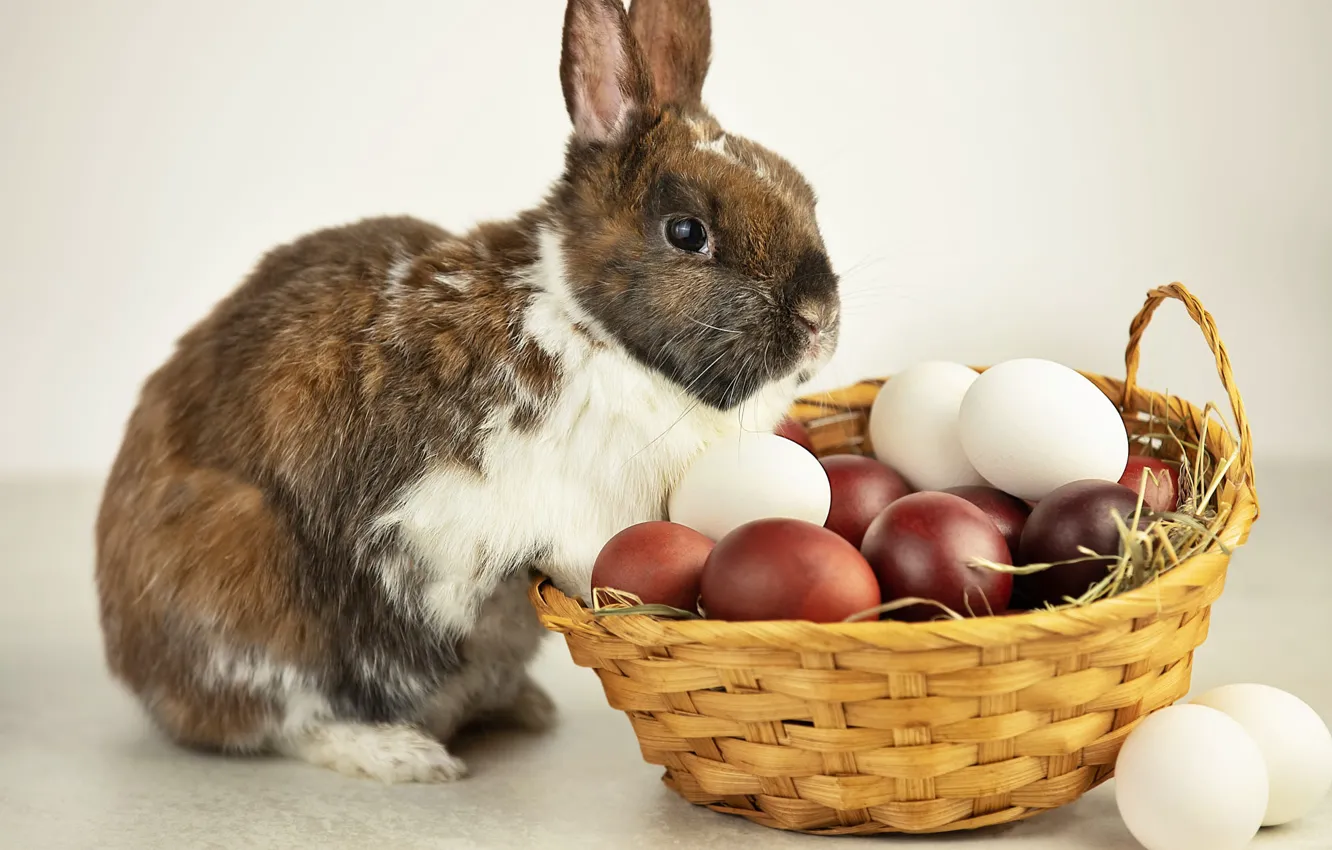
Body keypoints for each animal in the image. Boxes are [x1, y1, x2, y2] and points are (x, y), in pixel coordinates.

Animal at [95, 0, 840, 784]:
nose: (819, 318)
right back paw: (406, 756)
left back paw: (521, 708)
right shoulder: (565, 523)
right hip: (252, 600)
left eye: (802, 191)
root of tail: (135, 667)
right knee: (281, 722)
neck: (587, 327)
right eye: (687, 231)